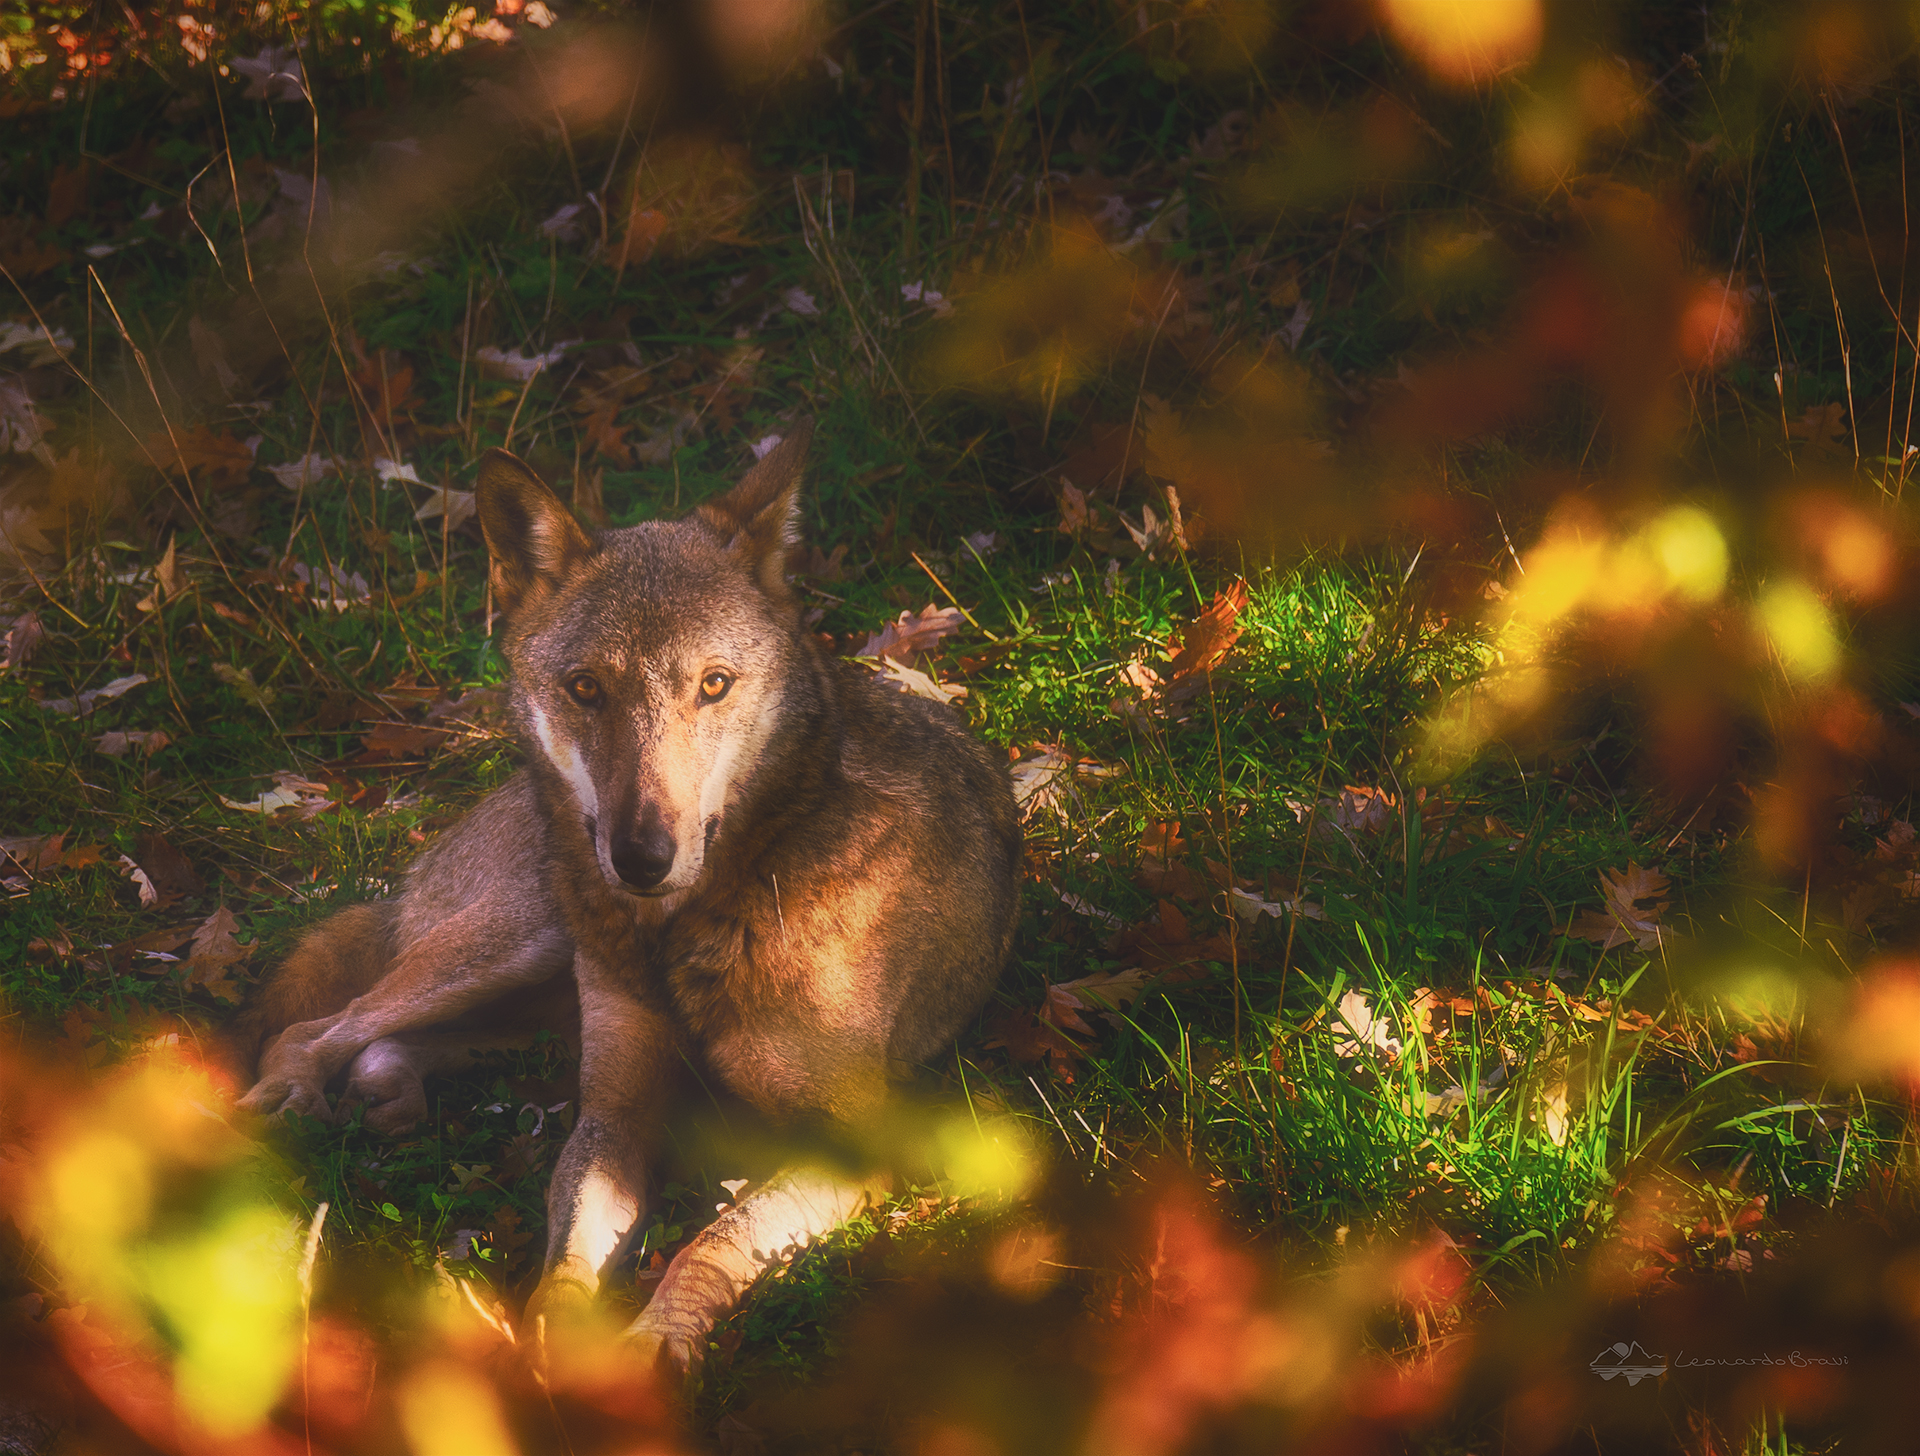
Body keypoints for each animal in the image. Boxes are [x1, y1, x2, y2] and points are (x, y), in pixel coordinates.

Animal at [237, 421, 1022, 1371]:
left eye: (714, 684)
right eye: (586, 688)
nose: (642, 857)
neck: (691, 927)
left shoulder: (849, 1148)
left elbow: (714, 1239)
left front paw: (653, 1346)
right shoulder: (616, 1114)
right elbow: (573, 1250)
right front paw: (556, 1341)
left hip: (532, 994)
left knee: (387, 1042)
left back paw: (385, 1096)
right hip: (515, 947)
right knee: (320, 1028)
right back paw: (287, 1100)